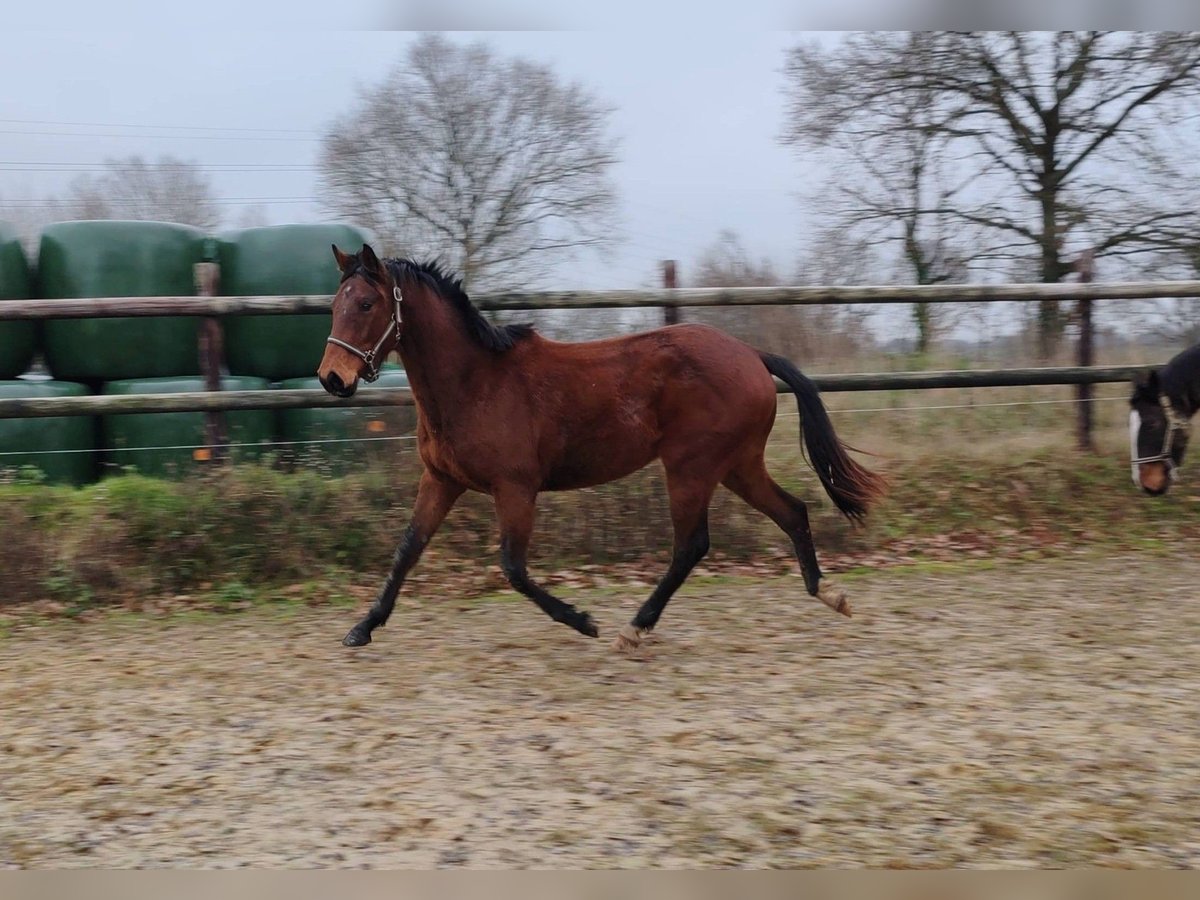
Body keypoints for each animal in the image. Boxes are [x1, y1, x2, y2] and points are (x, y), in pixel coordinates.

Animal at [314, 243, 888, 652]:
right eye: (334, 305)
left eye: (366, 303)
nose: (332, 379)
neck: (474, 383)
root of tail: (750, 353)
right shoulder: (442, 480)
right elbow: (408, 549)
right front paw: (362, 628)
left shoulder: (515, 488)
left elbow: (512, 567)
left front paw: (582, 621)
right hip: (737, 466)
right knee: (792, 512)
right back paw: (829, 594)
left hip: (692, 467)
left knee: (692, 545)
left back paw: (633, 628)